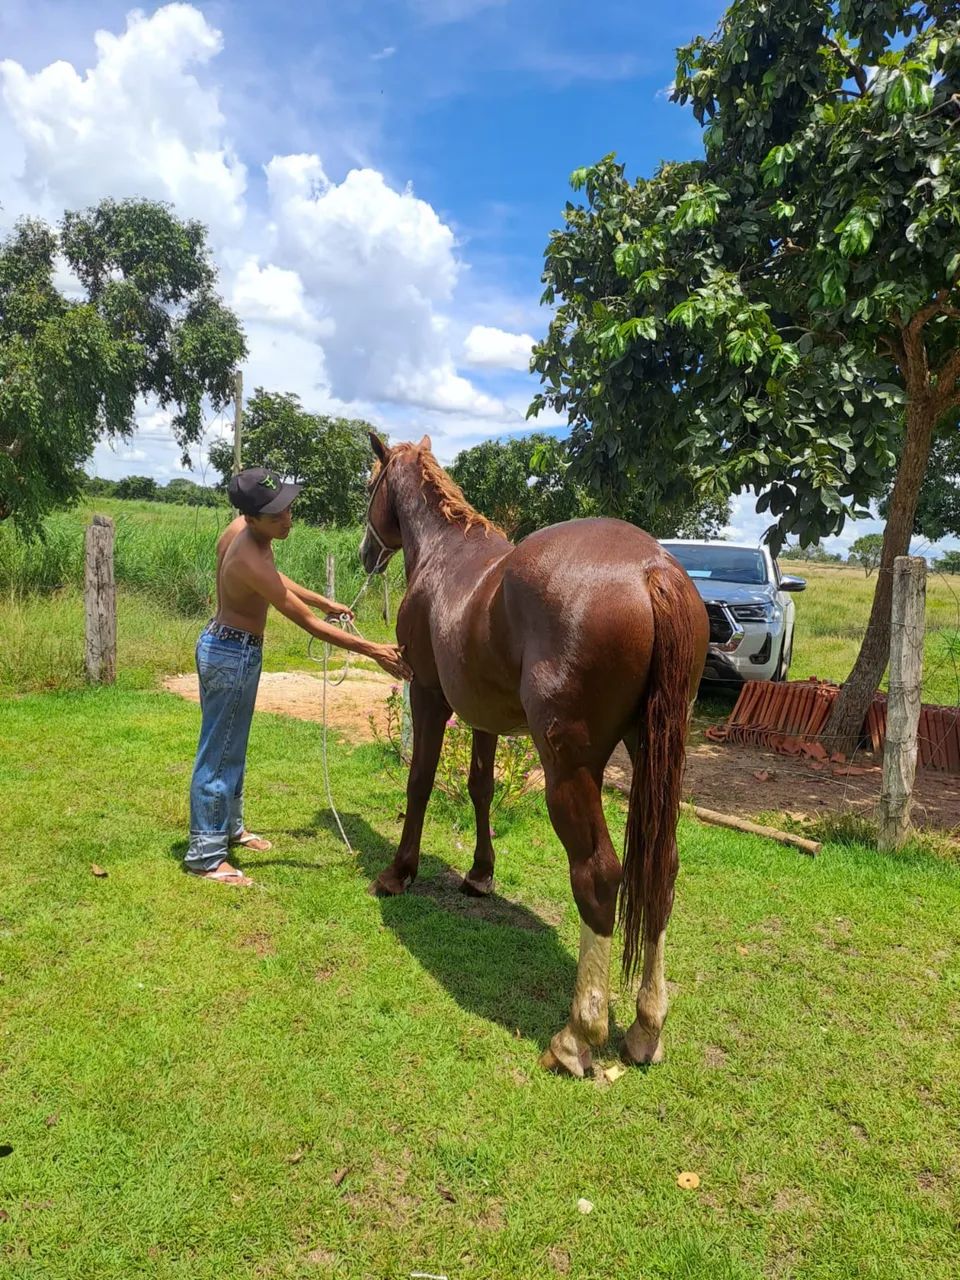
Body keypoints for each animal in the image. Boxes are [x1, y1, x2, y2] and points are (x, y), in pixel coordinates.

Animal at [359, 433, 709, 1077]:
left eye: (371, 483)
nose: (367, 552)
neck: (444, 555)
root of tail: (651, 568)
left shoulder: (428, 695)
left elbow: (419, 781)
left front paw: (398, 872)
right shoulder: (483, 717)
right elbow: (480, 788)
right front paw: (480, 875)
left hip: (569, 768)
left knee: (599, 874)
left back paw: (578, 1035)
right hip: (654, 754)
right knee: (662, 873)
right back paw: (646, 1028)